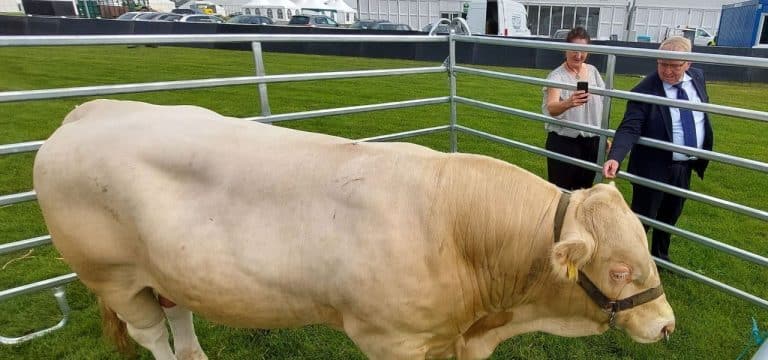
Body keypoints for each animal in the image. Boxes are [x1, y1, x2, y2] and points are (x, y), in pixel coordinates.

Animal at [33, 100, 676, 358]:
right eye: (619, 268)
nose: (668, 325)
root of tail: (87, 111)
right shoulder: (390, 340)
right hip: (114, 278)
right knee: (152, 337)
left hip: (171, 271)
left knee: (182, 323)